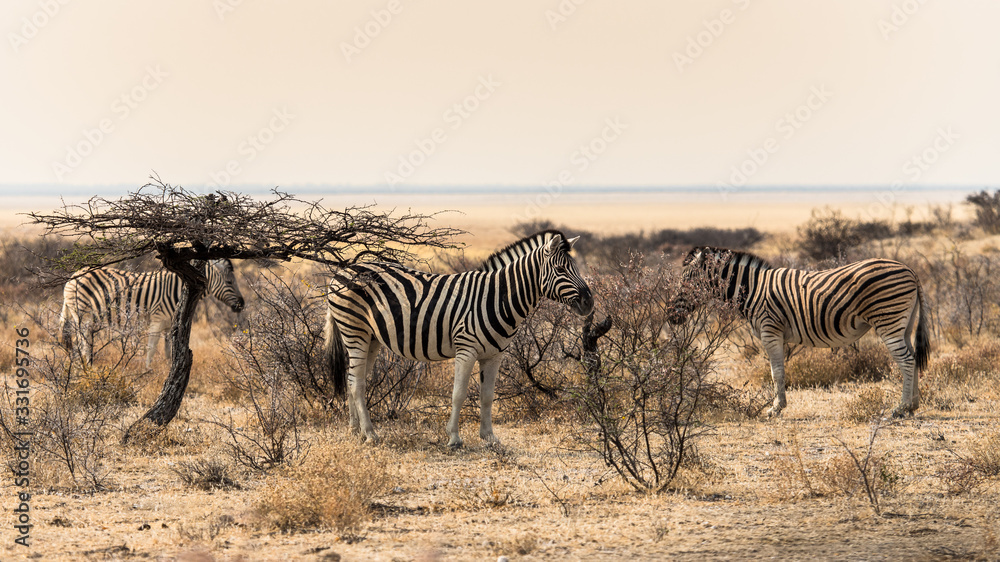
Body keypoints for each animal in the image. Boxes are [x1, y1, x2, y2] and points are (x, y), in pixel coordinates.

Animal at [59, 259, 245, 367]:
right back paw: (89, 367)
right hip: (83, 315)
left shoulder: (171, 324)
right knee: (83, 342)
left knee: (77, 342)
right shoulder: (157, 320)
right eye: (230, 282)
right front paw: (148, 370)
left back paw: (81, 365)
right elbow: (152, 349)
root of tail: (73, 276)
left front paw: (169, 368)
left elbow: (169, 350)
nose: (242, 304)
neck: (178, 290)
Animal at [323, 230, 593, 447]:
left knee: (352, 379)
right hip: (354, 331)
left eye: (576, 268)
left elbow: (487, 396)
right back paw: (370, 435)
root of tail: (343, 269)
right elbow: (459, 394)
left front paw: (489, 437)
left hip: (372, 338)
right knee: (357, 384)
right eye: (560, 269)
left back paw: (355, 431)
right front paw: (454, 437)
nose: (589, 303)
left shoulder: (495, 355)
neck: (497, 298)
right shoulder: (466, 349)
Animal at [680, 247, 929, 418]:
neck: (753, 289)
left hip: (888, 320)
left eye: (686, 282)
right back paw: (913, 405)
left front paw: (776, 409)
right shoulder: (775, 333)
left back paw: (902, 407)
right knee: (913, 357)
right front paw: (778, 406)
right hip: (904, 324)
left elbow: (776, 373)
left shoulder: (770, 331)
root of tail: (910, 270)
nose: (673, 316)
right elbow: (779, 371)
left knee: (906, 361)